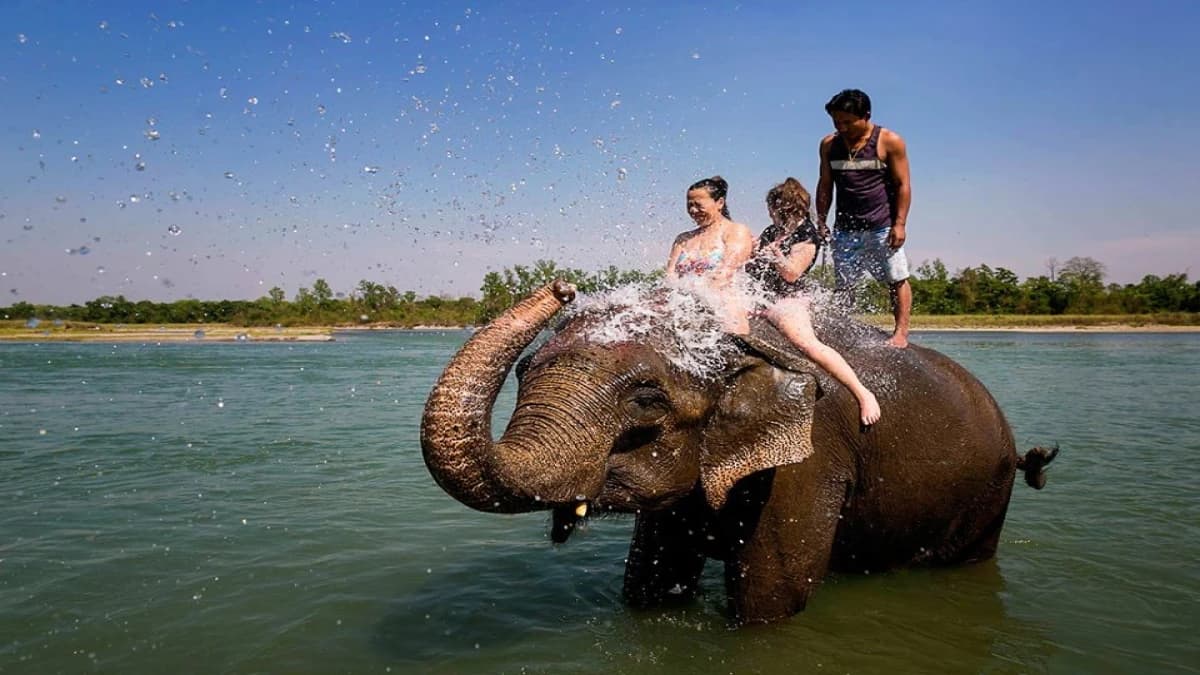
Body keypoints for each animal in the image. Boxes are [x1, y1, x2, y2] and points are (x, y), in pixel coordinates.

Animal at [421, 280, 1056, 625]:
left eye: (646, 399)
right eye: (524, 371)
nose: (563, 287)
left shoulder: (807, 460)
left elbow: (772, 596)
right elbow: (649, 581)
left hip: (988, 496)